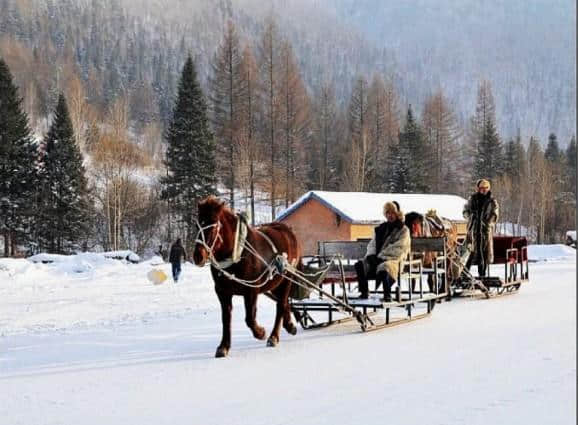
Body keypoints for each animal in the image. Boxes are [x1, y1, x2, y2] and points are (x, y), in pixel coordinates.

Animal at [194, 197, 300, 356]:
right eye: (198, 225)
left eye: (212, 227)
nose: (198, 256)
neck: (237, 253)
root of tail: (288, 231)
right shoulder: (222, 291)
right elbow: (226, 318)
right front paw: (224, 346)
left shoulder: (251, 290)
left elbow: (250, 318)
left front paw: (260, 332)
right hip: (275, 283)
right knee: (285, 302)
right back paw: (289, 325)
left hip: (286, 278)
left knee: (281, 305)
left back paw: (273, 336)